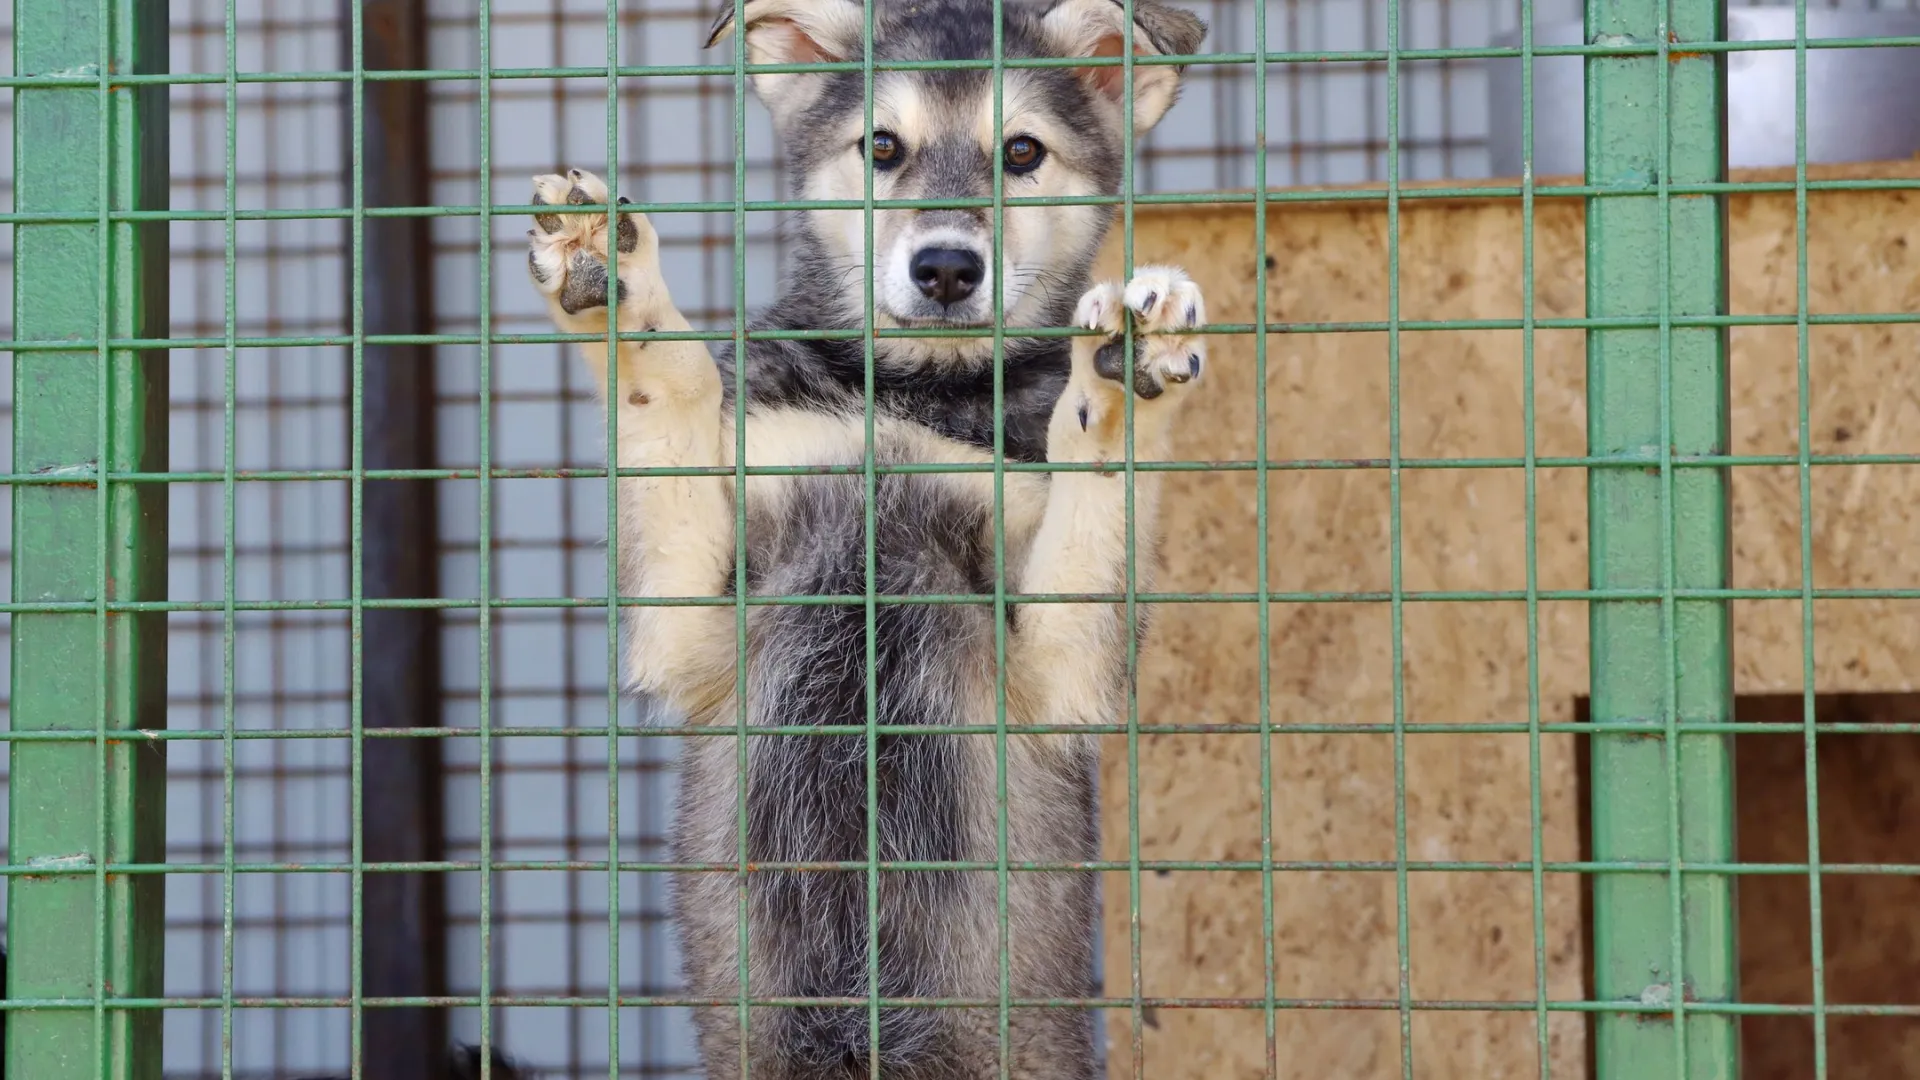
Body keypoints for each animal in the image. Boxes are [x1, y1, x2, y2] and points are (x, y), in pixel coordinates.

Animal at [522, 4, 1213, 1068]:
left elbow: (1095, 490)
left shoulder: (1062, 669)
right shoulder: (689, 625)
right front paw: (622, 283)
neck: (912, 392)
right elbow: (673, 389)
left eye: (1022, 152)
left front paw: (1118, 379)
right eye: (881, 148)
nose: (946, 268)